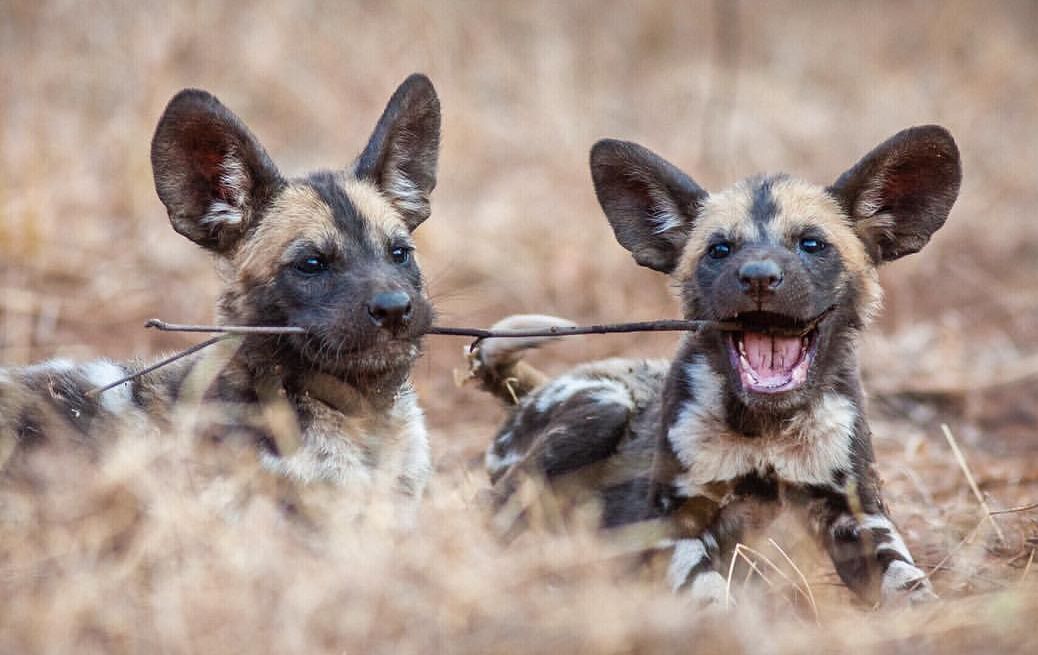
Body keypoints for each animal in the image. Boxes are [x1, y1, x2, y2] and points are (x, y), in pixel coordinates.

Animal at [467, 125, 959, 606]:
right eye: (720, 249)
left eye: (811, 244)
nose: (758, 276)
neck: (767, 429)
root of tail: (534, 389)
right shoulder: (676, 522)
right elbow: (709, 597)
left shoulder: (858, 516)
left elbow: (908, 585)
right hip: (602, 409)